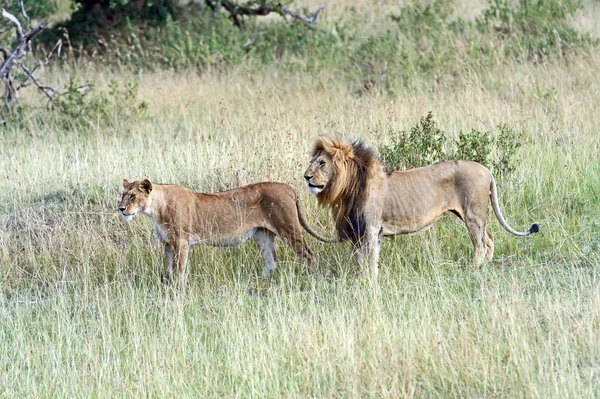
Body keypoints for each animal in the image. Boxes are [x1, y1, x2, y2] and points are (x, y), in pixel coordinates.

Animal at [117, 180, 332, 282]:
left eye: (133, 196)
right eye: (122, 195)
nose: (120, 208)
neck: (156, 209)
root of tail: (288, 187)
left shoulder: (181, 242)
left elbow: (179, 270)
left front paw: (179, 290)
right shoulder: (168, 244)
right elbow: (169, 270)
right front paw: (169, 288)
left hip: (288, 229)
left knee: (309, 254)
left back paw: (310, 275)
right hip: (262, 235)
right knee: (271, 263)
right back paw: (256, 282)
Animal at [304, 137, 540, 276]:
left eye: (322, 163)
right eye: (313, 162)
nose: (306, 177)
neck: (349, 187)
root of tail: (486, 169)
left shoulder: (371, 229)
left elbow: (370, 261)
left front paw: (371, 284)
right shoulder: (358, 231)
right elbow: (360, 261)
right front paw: (361, 281)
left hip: (473, 215)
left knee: (480, 244)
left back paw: (474, 270)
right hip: (475, 215)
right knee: (489, 239)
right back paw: (485, 268)